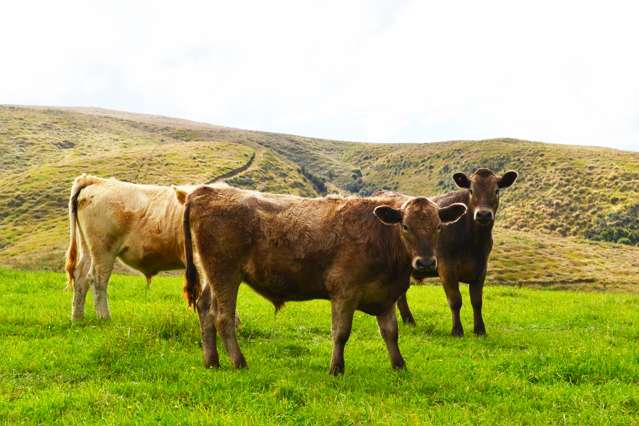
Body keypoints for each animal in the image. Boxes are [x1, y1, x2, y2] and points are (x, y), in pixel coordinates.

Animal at [178, 186, 468, 372]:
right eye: (405, 226)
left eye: (438, 227)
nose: (426, 264)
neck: (382, 237)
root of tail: (203, 191)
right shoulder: (344, 292)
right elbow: (341, 333)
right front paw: (336, 368)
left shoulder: (386, 296)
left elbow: (391, 333)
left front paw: (399, 366)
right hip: (225, 272)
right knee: (223, 317)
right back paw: (239, 362)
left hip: (211, 274)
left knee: (204, 309)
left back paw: (212, 361)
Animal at [396, 169, 520, 336]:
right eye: (471, 190)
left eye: (496, 190)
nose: (483, 214)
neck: (474, 242)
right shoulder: (446, 267)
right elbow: (455, 300)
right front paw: (457, 330)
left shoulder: (481, 268)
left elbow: (477, 301)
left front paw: (480, 330)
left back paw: (409, 322)